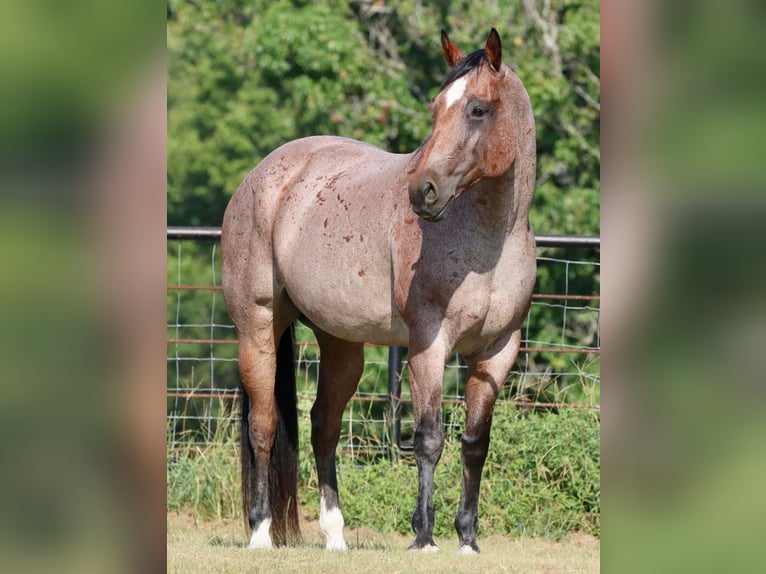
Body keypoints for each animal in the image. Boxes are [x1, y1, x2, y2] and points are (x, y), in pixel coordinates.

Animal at [219, 28, 536, 560]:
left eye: (478, 109)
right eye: (435, 107)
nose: (423, 192)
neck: (488, 241)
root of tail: (262, 175)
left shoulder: (497, 352)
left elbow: (475, 442)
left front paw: (468, 540)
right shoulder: (429, 345)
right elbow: (428, 439)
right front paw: (424, 537)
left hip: (341, 343)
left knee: (323, 425)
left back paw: (335, 535)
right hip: (257, 328)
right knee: (262, 426)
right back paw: (260, 532)